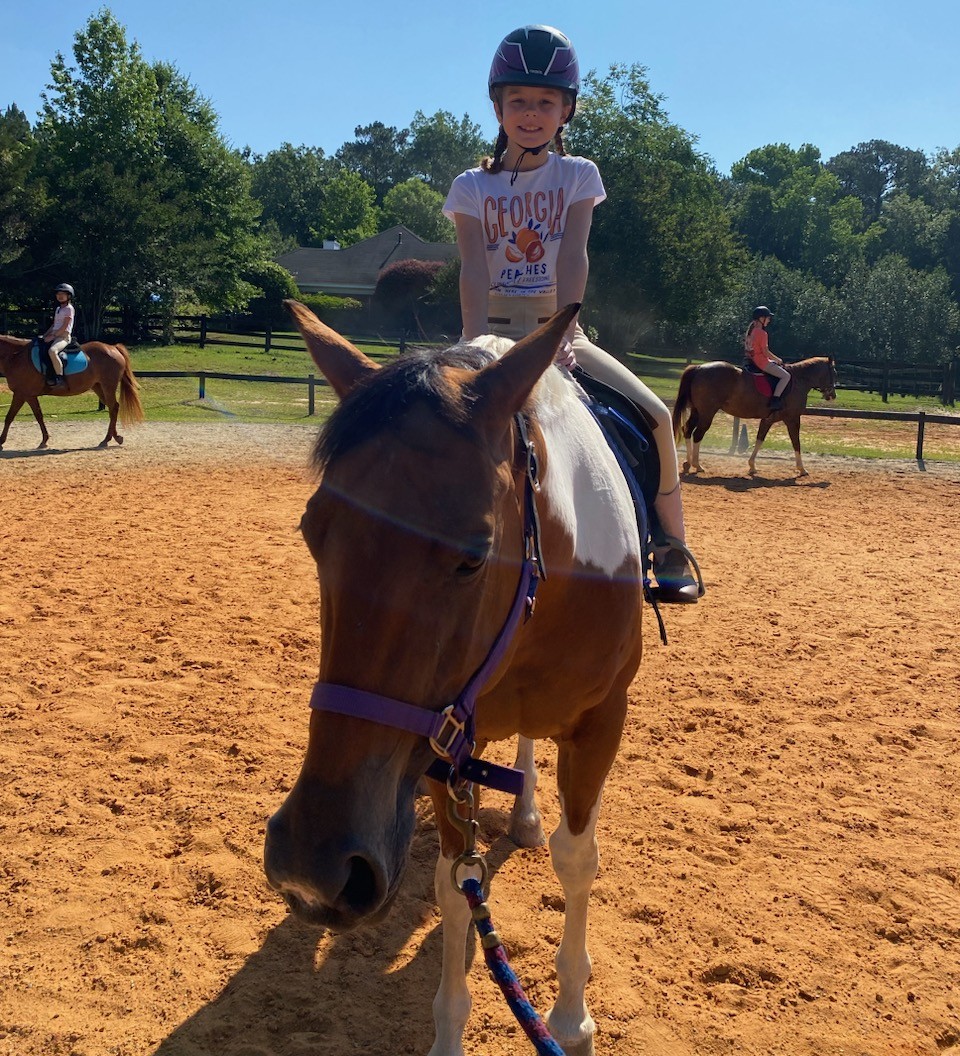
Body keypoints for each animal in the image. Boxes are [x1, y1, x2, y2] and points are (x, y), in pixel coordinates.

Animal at [0, 333, 143, 449]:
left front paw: (1, 442)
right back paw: (114, 438)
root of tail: (113, 348)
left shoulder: (21, 394)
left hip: (108, 386)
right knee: (112, 408)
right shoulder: (29, 395)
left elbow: (9, 417)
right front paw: (44, 440)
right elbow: (39, 416)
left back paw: (107, 439)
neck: (16, 356)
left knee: (113, 407)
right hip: (98, 386)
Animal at [266, 299, 646, 1056]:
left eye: (473, 555)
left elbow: (577, 860)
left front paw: (569, 1016)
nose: (314, 866)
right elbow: (453, 885)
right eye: (312, 531)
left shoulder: (600, 724)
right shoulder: (445, 746)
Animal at [671, 359, 836, 479]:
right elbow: (796, 442)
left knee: (687, 430)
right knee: (697, 434)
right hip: (707, 413)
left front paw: (752, 466)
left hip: (697, 411)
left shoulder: (768, 420)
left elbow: (759, 439)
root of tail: (699, 367)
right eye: (833, 372)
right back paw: (697, 465)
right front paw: (802, 469)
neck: (799, 380)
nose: (833, 395)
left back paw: (688, 463)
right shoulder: (793, 419)